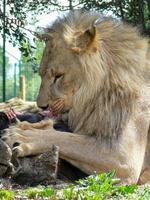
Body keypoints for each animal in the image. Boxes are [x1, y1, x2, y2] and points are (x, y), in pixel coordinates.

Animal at [1, 9, 150, 184]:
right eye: (41, 74)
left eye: (58, 76)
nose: (42, 106)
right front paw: (23, 125)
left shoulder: (123, 157)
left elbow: (65, 139)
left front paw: (21, 135)